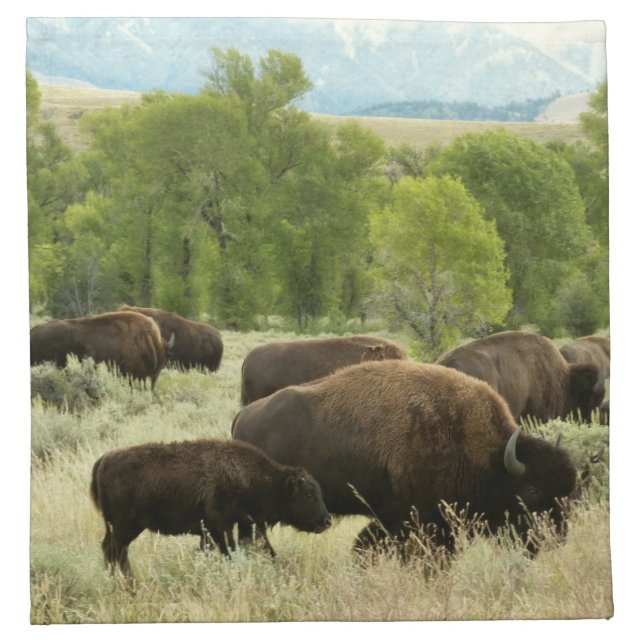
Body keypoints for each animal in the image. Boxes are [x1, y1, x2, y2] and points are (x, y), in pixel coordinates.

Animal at [90, 439, 332, 577]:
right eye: (309, 494)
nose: (326, 520)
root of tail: (104, 460)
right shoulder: (220, 527)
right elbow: (230, 552)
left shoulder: (234, 527)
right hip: (123, 525)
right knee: (113, 550)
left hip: (128, 527)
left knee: (116, 551)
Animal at [232, 360, 577, 555]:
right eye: (532, 490)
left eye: (569, 492)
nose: (556, 538)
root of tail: (242, 416)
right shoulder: (422, 519)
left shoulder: (397, 518)